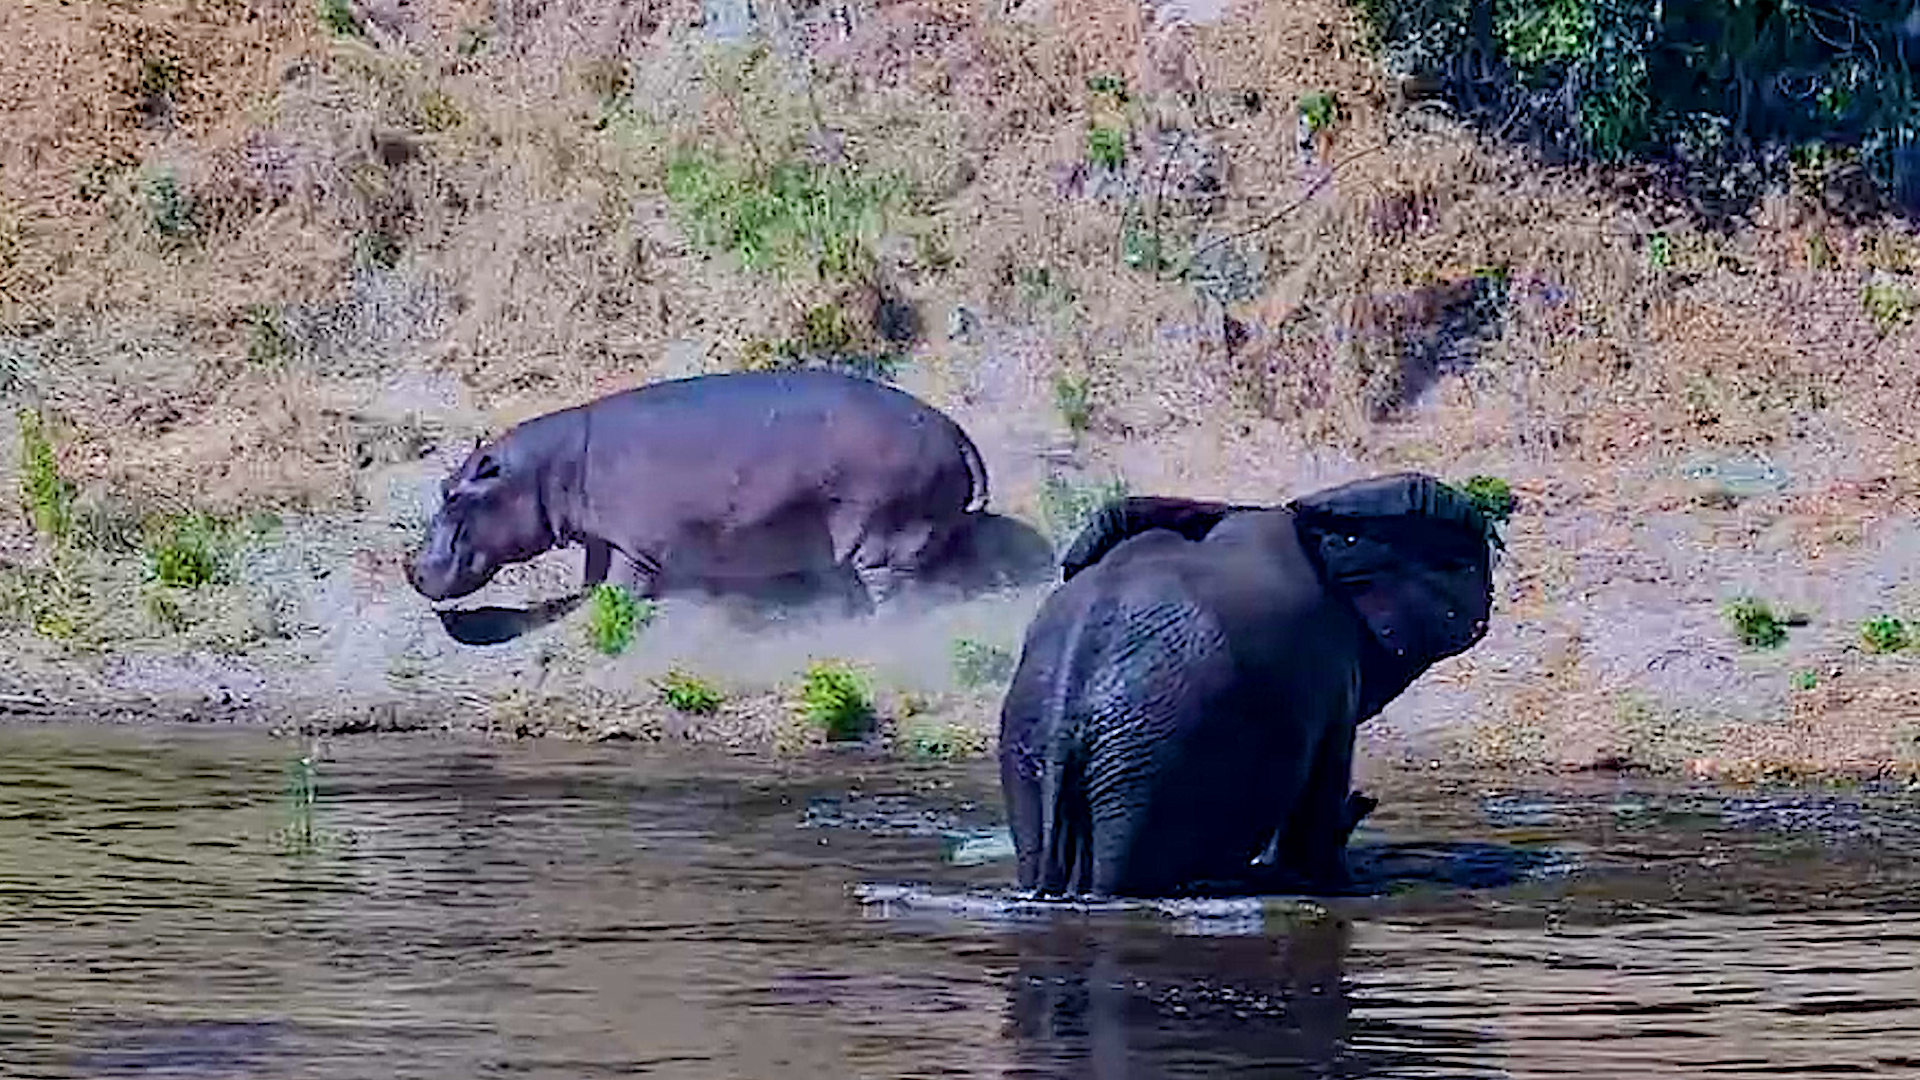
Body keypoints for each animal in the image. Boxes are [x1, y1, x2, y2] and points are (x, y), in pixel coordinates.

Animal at [407, 369, 991, 617]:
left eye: (454, 496)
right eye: (443, 485)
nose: (412, 568)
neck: (544, 469)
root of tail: (956, 431)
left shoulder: (634, 544)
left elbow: (623, 584)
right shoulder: (602, 535)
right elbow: (595, 575)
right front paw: (587, 600)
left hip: (886, 537)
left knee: (898, 590)